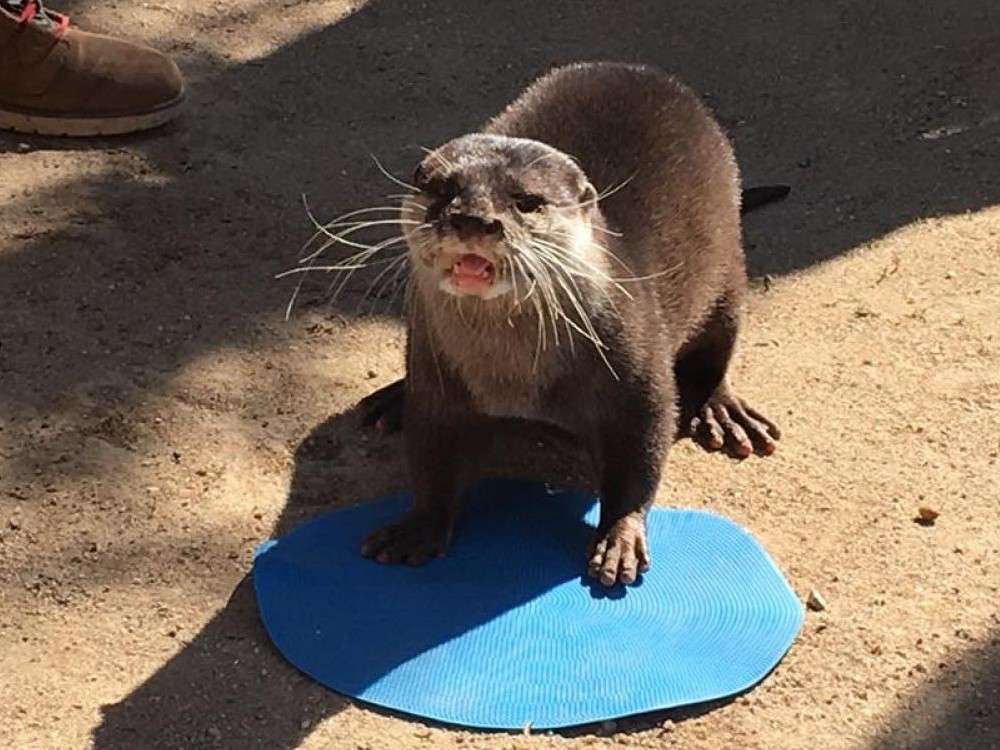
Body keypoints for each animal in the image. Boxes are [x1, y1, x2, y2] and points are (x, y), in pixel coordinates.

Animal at [358, 62, 781, 586]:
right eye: (443, 191)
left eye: (527, 201)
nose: (474, 219)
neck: (515, 380)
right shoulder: (439, 379)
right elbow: (432, 456)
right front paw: (419, 525)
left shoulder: (636, 373)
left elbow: (640, 454)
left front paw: (619, 538)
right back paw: (390, 399)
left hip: (727, 272)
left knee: (716, 348)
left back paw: (722, 411)